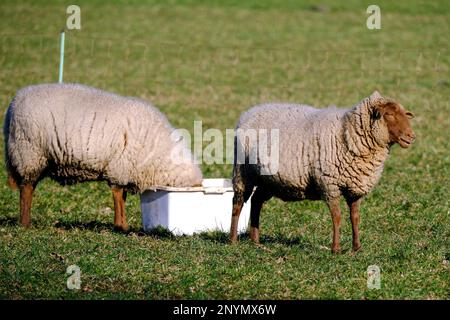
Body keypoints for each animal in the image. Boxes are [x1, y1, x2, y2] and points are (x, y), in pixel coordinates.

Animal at [3, 83, 202, 230]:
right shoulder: (120, 167)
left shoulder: (124, 170)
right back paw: (25, 223)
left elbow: (122, 196)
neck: (159, 154)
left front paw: (122, 225)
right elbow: (118, 196)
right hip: (29, 153)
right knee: (27, 188)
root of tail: (15, 101)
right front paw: (121, 226)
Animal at [230, 90, 416, 252]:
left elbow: (355, 217)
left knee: (256, 201)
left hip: (269, 180)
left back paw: (256, 241)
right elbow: (337, 217)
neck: (347, 134)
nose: (411, 137)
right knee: (238, 203)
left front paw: (357, 248)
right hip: (243, 172)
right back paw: (233, 241)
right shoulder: (329, 184)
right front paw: (336, 249)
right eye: (389, 115)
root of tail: (250, 112)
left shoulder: (355, 188)